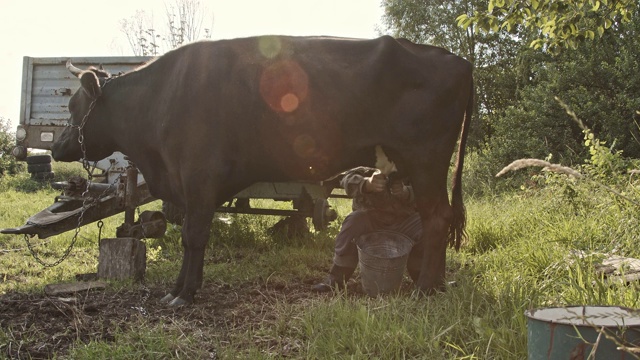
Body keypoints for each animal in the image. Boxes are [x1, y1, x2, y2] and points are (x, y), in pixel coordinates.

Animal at [52, 36, 472, 306]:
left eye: (73, 106)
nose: (57, 146)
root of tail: (458, 61)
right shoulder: (187, 187)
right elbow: (190, 236)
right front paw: (178, 288)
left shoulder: (200, 179)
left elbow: (193, 236)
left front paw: (184, 294)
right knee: (438, 217)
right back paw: (434, 285)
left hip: (425, 158)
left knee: (437, 218)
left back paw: (424, 289)